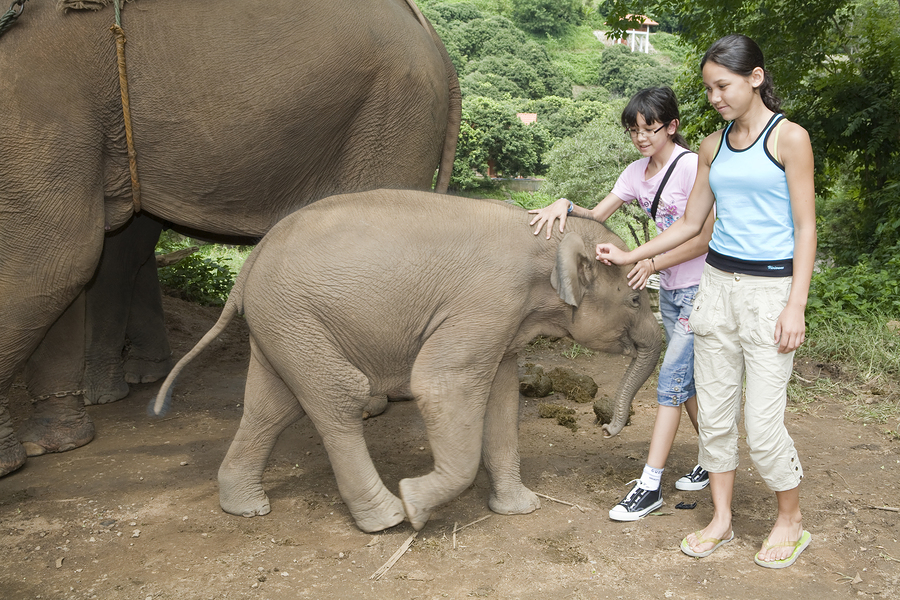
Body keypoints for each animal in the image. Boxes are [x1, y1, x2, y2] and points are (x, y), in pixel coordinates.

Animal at [0, 0, 460, 478]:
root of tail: (433, 40)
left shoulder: (45, 91)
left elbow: (56, 255)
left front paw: (14, 459)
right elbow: (80, 255)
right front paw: (53, 443)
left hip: (393, 113)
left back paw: (367, 400)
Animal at [151, 190, 660, 532]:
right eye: (636, 298)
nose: (608, 429)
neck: (546, 237)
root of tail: (250, 263)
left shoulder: (503, 321)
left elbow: (501, 397)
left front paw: (521, 509)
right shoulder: (487, 302)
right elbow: (440, 383)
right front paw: (416, 503)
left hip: (280, 325)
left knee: (270, 406)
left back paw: (246, 507)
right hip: (294, 317)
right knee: (336, 396)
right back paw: (387, 517)